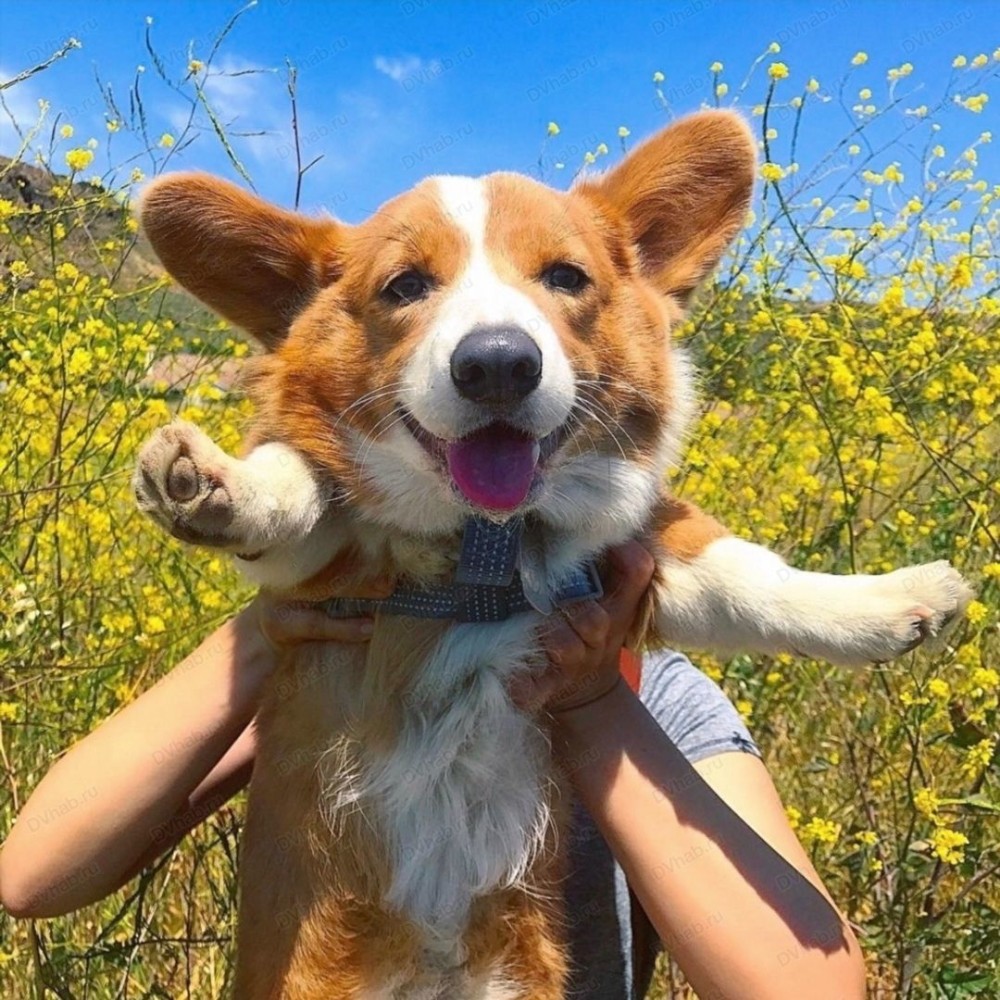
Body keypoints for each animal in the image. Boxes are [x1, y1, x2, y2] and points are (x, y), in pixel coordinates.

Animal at [133, 113, 968, 996]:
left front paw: (886, 603)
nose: (498, 362)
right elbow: (302, 487)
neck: (486, 548)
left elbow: (745, 575)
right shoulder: (325, 577)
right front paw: (218, 486)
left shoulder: (632, 558)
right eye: (404, 286)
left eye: (566, 277)